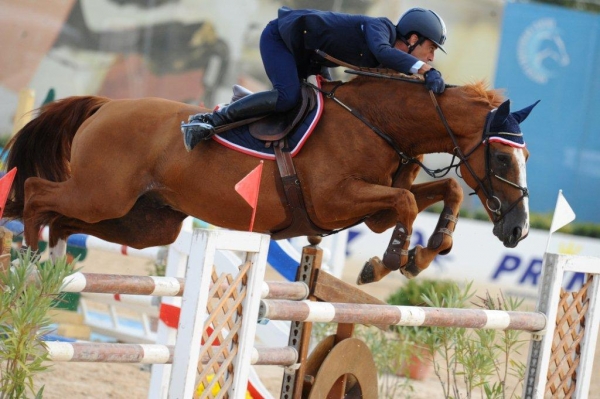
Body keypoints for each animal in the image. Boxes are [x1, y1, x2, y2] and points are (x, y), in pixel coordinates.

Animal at [3, 75, 540, 286]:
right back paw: (28, 257)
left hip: (144, 222)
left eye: (527, 157)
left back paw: (53, 263)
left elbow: (441, 191)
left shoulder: (372, 210)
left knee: (63, 218)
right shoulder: (337, 199)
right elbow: (409, 204)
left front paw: (427, 252)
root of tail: (106, 105)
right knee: (35, 194)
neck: (377, 121)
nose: (518, 230)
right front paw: (385, 263)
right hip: (102, 195)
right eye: (501, 160)